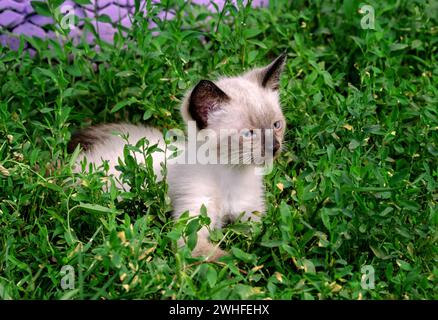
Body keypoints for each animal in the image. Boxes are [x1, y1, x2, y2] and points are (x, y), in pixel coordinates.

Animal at [67, 53, 288, 260]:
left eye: (276, 125)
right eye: (249, 134)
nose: (275, 147)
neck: (232, 172)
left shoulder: (253, 218)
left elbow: (266, 239)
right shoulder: (191, 229)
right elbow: (227, 259)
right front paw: (248, 266)